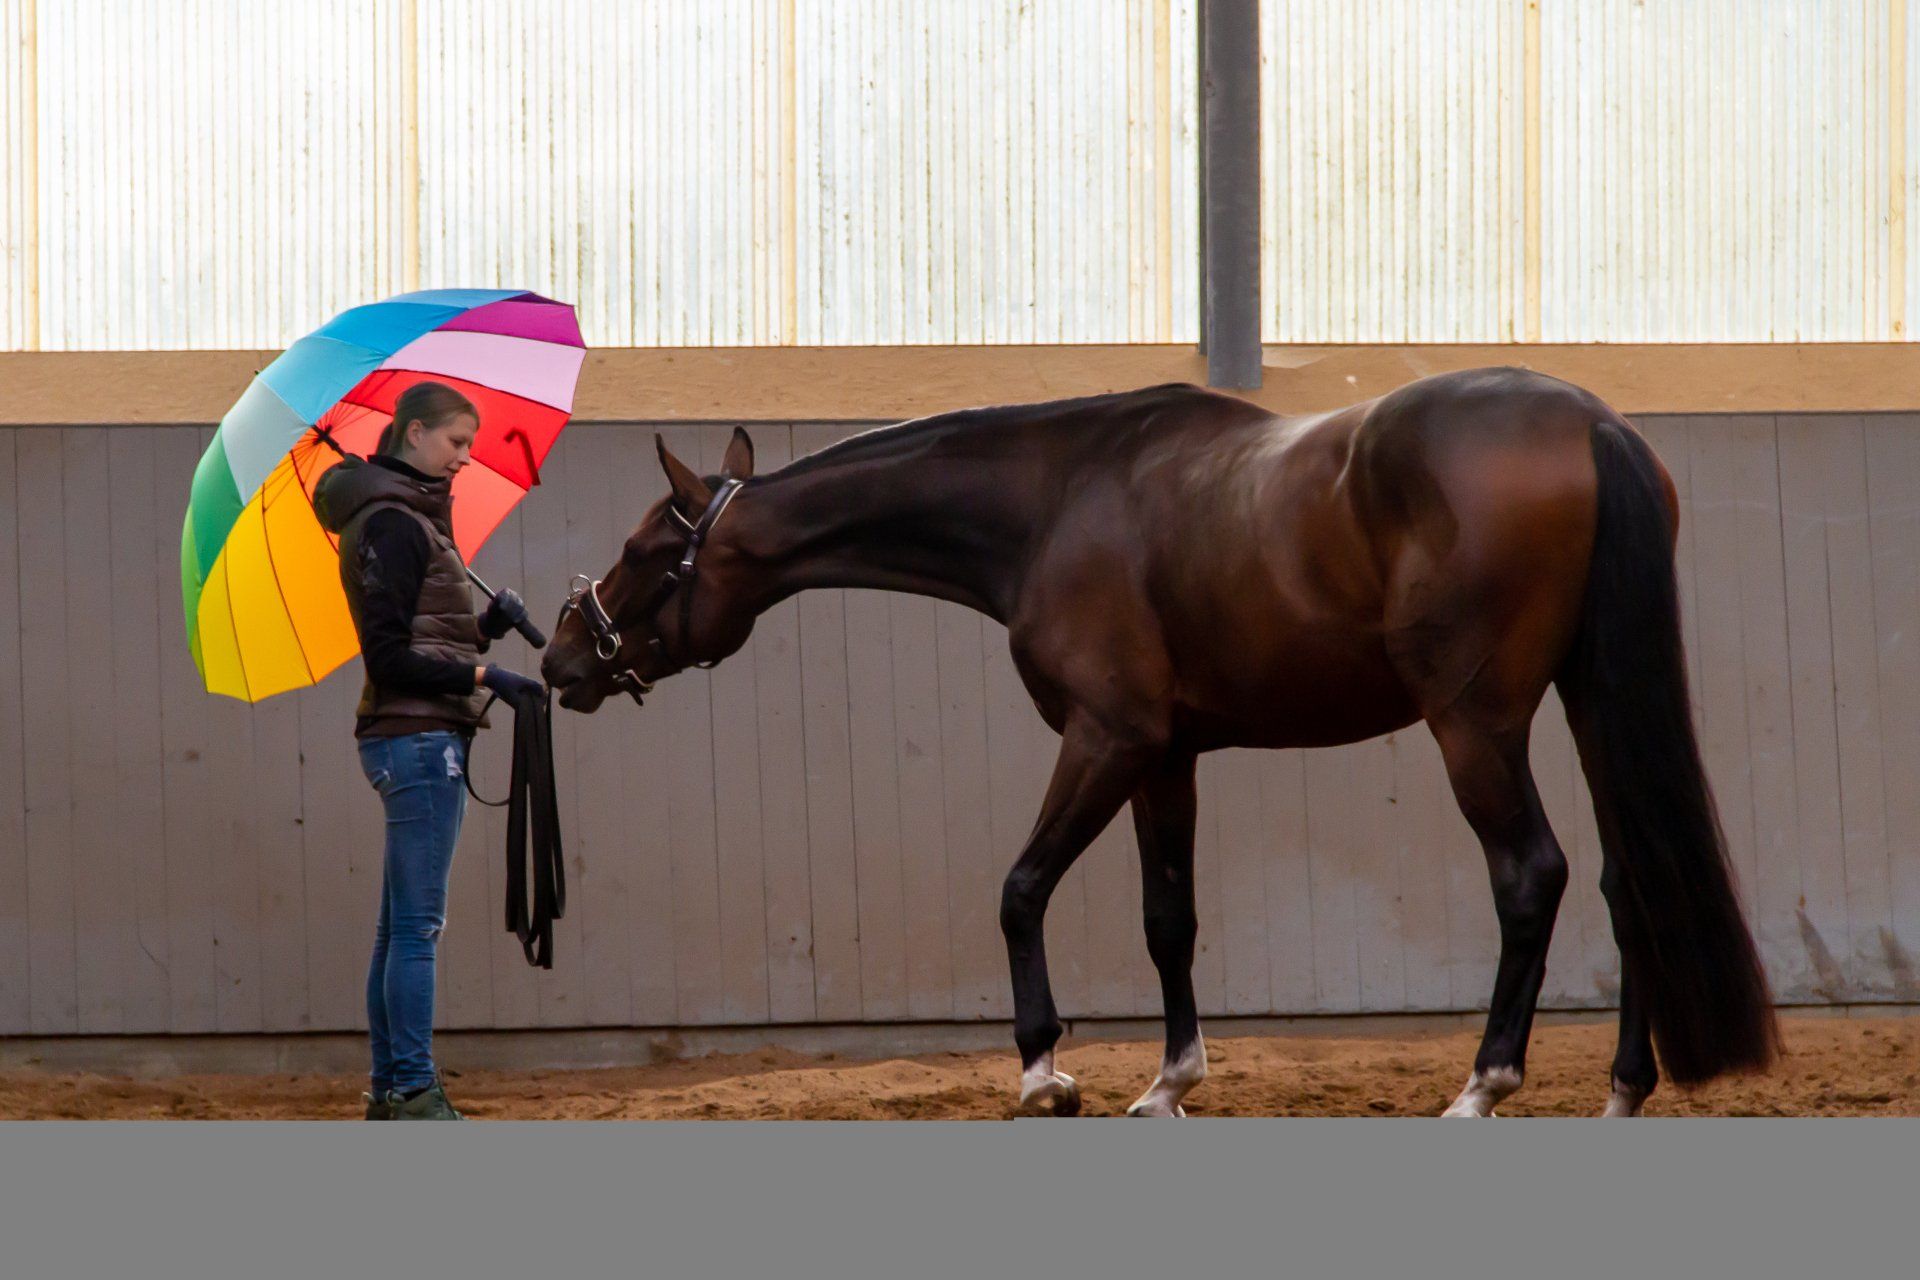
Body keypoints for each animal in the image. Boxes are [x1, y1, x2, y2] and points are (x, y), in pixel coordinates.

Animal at [541, 367, 1779, 1117]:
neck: (1055, 502)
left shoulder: (1106, 737)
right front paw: (1169, 1079)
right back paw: (1622, 1087)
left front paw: (1046, 1069)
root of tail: (1590, 421)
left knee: (1534, 875)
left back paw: (1483, 1082)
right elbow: (1166, 916)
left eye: (647, 551)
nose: (561, 658)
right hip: (1586, 697)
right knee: (1630, 876)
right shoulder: (1168, 756)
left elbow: (1020, 887)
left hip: (1474, 724)